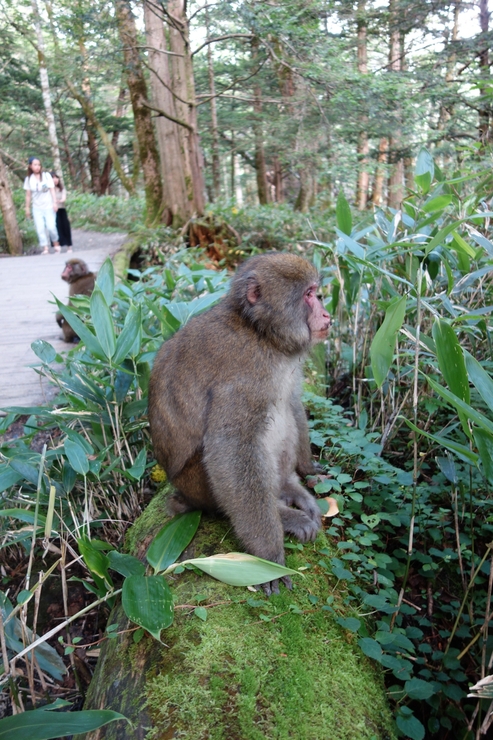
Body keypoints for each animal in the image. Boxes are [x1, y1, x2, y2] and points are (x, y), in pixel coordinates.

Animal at [147, 251, 330, 592]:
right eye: (309, 295)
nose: (326, 316)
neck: (261, 333)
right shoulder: (244, 376)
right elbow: (231, 448)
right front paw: (270, 560)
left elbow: (292, 401)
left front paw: (308, 468)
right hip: (195, 484)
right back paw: (285, 514)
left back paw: (288, 488)